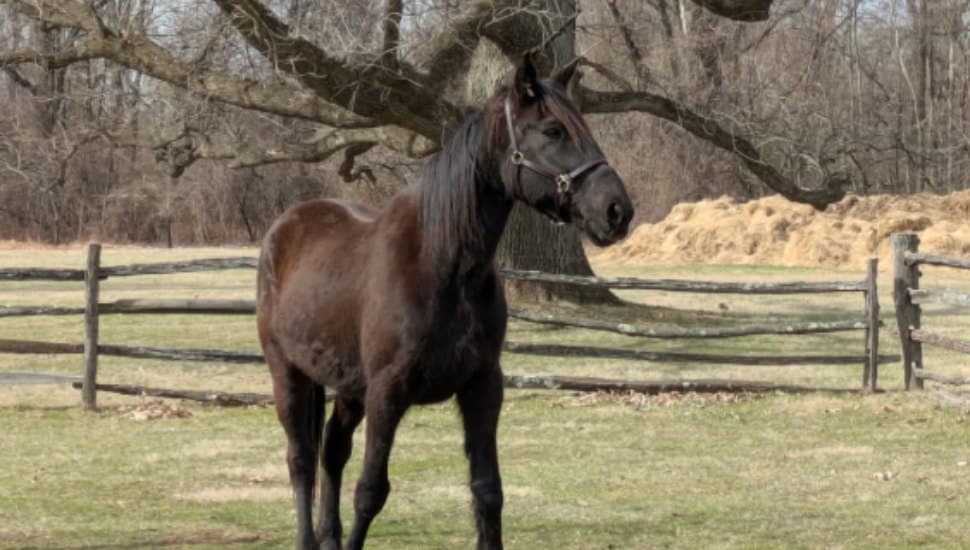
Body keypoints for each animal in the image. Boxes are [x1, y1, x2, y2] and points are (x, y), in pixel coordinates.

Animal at [256, 54, 634, 550]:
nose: (617, 211)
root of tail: (285, 226)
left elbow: (487, 491)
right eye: (552, 130)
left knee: (332, 451)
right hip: (288, 372)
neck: (444, 265)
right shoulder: (387, 392)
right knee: (300, 458)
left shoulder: (482, 387)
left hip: (348, 385)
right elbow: (370, 491)